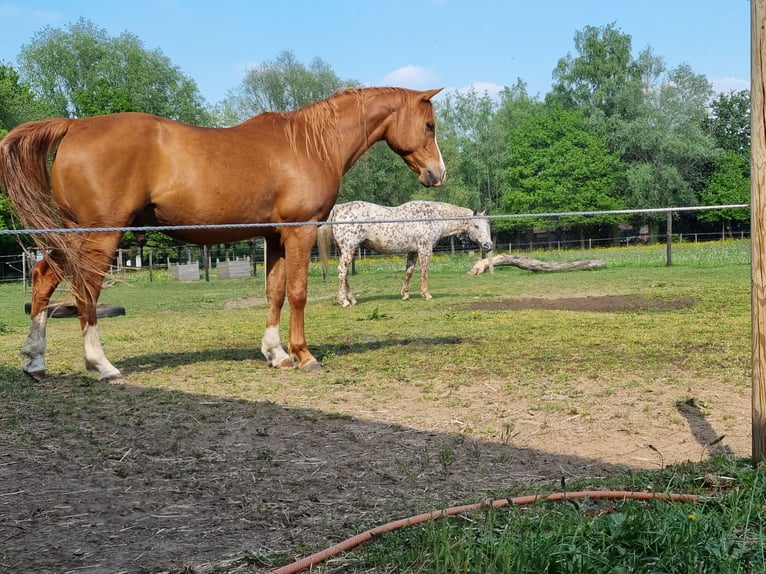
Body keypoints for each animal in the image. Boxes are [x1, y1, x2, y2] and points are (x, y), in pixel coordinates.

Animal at [0, 87, 446, 381]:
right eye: (429, 125)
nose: (437, 174)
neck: (310, 144)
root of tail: (74, 126)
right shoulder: (299, 232)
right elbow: (299, 293)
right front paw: (303, 355)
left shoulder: (273, 237)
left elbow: (275, 292)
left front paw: (276, 354)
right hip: (99, 235)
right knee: (86, 291)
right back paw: (102, 366)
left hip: (73, 235)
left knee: (43, 279)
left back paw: (35, 362)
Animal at [317, 200, 493, 307]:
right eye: (476, 226)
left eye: (487, 225)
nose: (488, 245)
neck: (432, 216)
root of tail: (339, 208)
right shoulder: (424, 249)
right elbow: (424, 271)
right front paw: (426, 294)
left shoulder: (412, 252)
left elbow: (409, 272)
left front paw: (405, 295)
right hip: (349, 249)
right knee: (342, 272)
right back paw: (344, 301)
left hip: (348, 251)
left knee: (345, 274)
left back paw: (352, 299)